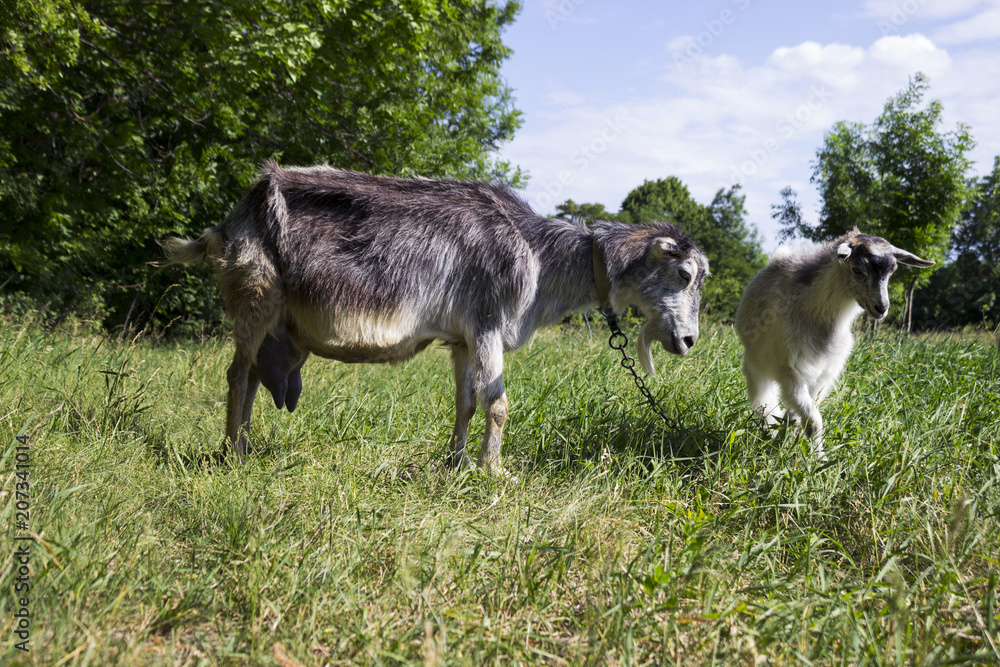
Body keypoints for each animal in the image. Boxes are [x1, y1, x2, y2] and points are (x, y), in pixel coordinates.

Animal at [159, 162, 710, 473]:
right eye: (684, 273)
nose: (688, 341)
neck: (538, 254)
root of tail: (228, 224)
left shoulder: (463, 339)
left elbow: (465, 404)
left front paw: (456, 464)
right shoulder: (487, 324)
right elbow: (497, 403)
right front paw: (495, 472)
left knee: (253, 374)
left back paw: (247, 446)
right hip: (256, 295)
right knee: (237, 373)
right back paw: (234, 454)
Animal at [734, 228, 933, 459]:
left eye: (892, 271)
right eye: (857, 269)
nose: (881, 308)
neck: (816, 315)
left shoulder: (822, 376)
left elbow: (799, 417)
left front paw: (784, 448)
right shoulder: (790, 372)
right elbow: (813, 421)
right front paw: (819, 461)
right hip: (756, 368)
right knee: (763, 404)